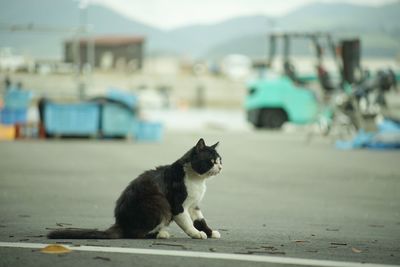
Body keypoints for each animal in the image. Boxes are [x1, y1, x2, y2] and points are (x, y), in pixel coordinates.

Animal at [47, 139, 222, 240]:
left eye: (220, 160)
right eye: (211, 161)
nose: (220, 167)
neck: (198, 181)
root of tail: (120, 222)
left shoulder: (194, 206)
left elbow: (200, 220)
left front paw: (210, 232)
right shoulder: (178, 205)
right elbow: (187, 222)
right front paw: (196, 233)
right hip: (160, 202)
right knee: (137, 234)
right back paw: (161, 234)